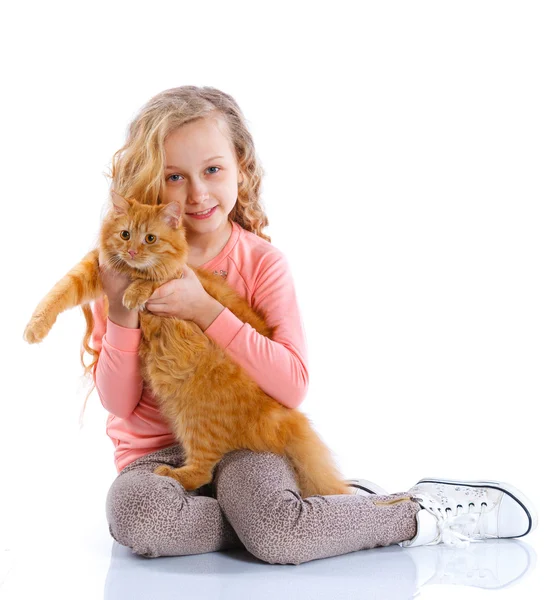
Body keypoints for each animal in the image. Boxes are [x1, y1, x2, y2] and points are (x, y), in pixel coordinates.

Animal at [24, 191, 354, 496]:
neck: (132, 271)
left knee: (203, 470)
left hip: (195, 419)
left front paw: (134, 294)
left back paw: (170, 474)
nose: (132, 251)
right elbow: (57, 294)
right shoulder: (93, 271)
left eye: (150, 238)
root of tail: (281, 416)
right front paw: (34, 329)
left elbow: (152, 280)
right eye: (125, 234)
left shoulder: (176, 275)